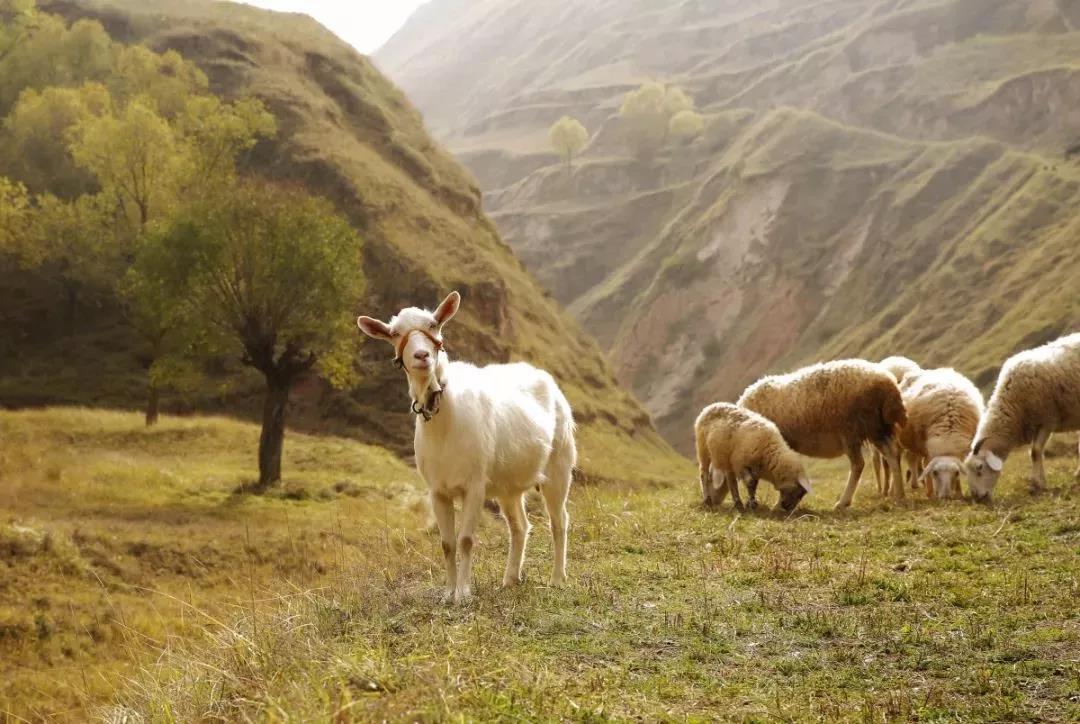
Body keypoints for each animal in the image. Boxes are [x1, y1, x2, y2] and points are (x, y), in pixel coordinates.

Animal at [354, 291, 578, 605]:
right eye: (395, 333)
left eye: (434, 324)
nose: (421, 356)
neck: (445, 422)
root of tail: (545, 379)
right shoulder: (437, 490)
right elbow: (447, 543)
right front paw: (448, 592)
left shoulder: (475, 486)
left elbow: (466, 540)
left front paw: (464, 593)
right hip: (508, 485)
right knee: (519, 526)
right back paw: (510, 579)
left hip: (559, 466)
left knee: (559, 521)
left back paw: (557, 578)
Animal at [738, 360, 907, 510]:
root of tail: (889, 383)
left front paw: (778, 504)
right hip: (877, 429)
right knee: (892, 455)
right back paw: (899, 495)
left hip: (852, 429)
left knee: (859, 464)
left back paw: (843, 502)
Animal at [898, 369, 984, 499]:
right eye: (935, 472)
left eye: (956, 473)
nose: (945, 497)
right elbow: (926, 467)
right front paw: (931, 493)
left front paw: (959, 493)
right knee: (912, 460)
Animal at [967, 334, 1075, 505]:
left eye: (979, 468)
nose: (977, 498)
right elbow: (1034, 452)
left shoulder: (1046, 420)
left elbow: (1035, 452)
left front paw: (1038, 484)